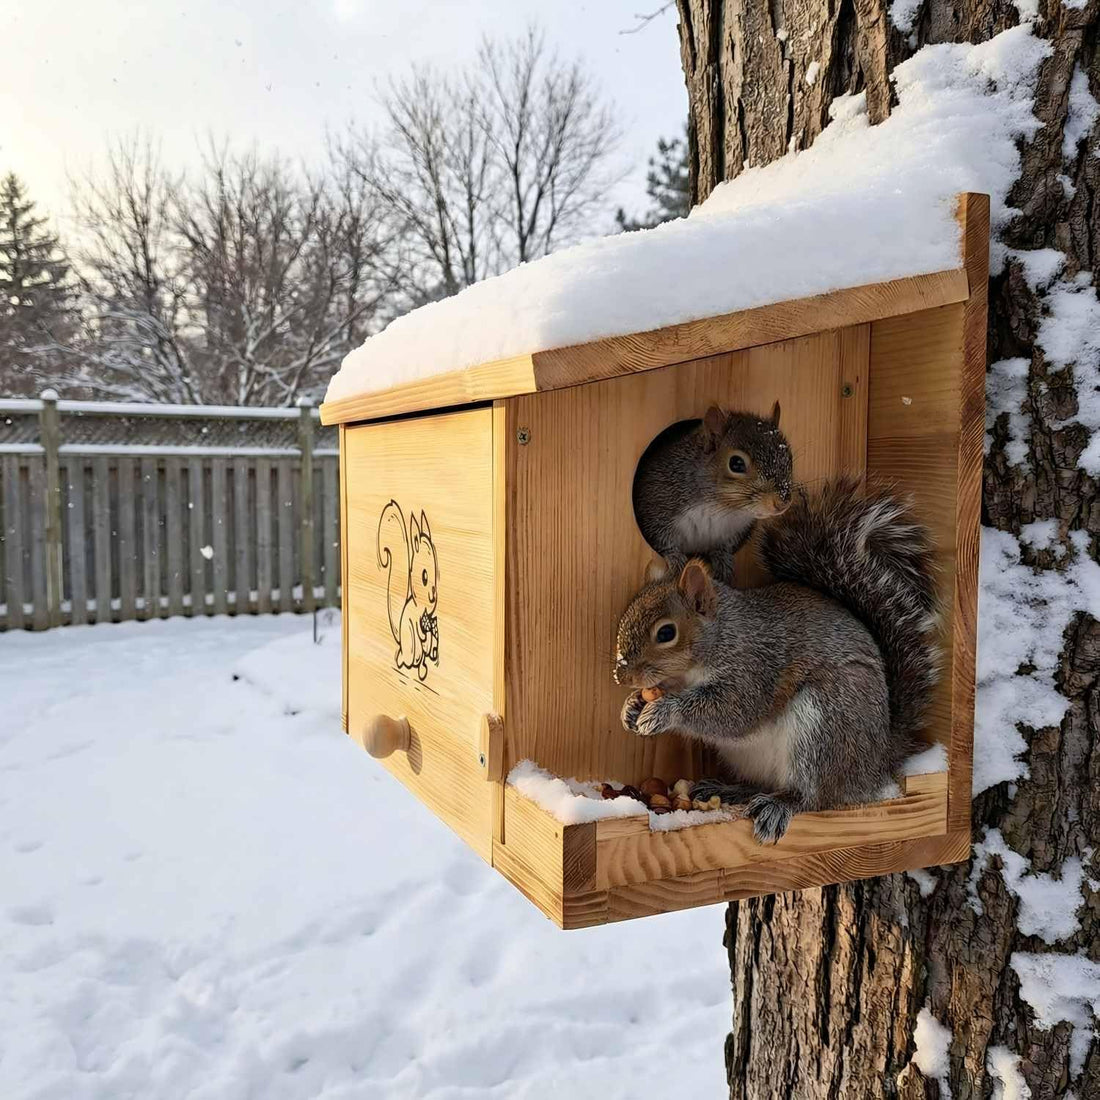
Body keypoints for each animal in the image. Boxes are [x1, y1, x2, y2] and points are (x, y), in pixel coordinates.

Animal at [377, 501, 439, 681]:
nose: (433, 597)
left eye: (435, 573)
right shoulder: (415, 619)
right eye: (424, 576)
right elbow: (418, 627)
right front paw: (424, 633)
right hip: (412, 648)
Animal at [613, 479, 939, 843]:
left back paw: (780, 804)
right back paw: (730, 790)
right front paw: (631, 706)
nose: (621, 675)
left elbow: (731, 711)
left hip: (824, 726)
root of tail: (875, 763)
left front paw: (664, 711)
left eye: (666, 632)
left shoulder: (755, 668)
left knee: (814, 796)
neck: (722, 636)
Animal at [632, 403, 793, 584]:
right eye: (736, 463)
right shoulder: (655, 506)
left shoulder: (734, 533)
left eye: (789, 457)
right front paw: (675, 558)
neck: (721, 507)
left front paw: (723, 559)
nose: (782, 503)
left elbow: (723, 548)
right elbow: (661, 541)